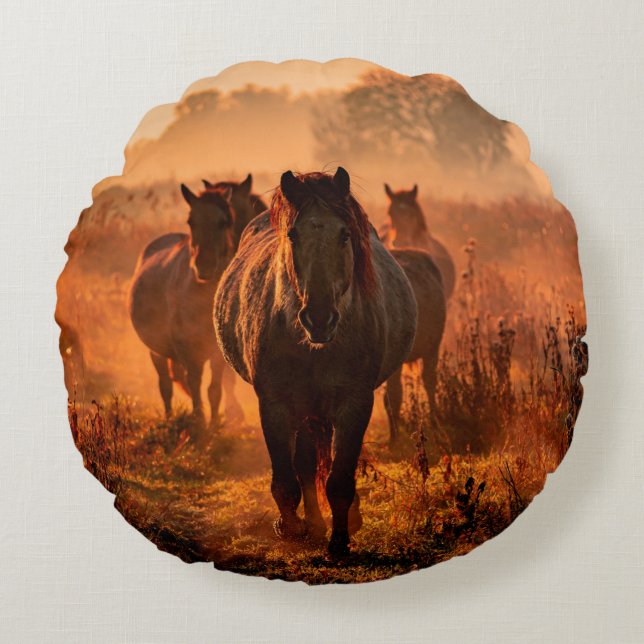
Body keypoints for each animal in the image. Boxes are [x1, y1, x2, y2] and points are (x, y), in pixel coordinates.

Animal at [129, 183, 236, 443]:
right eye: (191, 221)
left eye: (223, 222)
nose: (204, 267)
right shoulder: (190, 351)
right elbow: (194, 386)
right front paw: (200, 426)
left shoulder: (217, 354)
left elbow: (214, 390)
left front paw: (214, 426)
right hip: (155, 351)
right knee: (165, 386)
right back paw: (169, 420)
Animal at [214, 167, 418, 556]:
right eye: (293, 235)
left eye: (345, 234)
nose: (319, 319)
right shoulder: (275, 404)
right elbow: (286, 479)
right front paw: (291, 528)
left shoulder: (355, 403)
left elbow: (340, 479)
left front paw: (340, 541)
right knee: (306, 466)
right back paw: (312, 523)